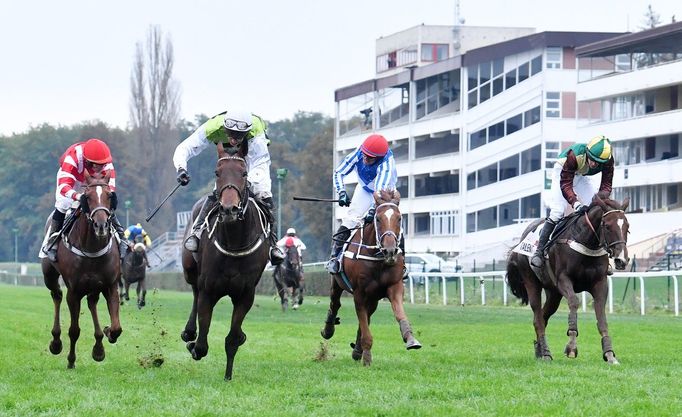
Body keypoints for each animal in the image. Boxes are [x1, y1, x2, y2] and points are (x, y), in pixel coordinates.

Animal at [40, 170, 122, 368]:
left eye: (109, 196)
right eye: (88, 196)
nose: (101, 225)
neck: (91, 248)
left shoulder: (110, 285)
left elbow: (117, 327)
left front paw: (107, 332)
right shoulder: (74, 291)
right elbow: (74, 330)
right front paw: (71, 360)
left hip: (94, 287)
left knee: (92, 303)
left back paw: (99, 346)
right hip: (49, 276)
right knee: (57, 295)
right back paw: (56, 342)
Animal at [179, 141, 270, 380]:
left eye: (244, 173)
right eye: (217, 173)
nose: (229, 209)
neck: (234, 241)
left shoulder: (245, 294)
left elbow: (232, 338)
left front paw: (228, 375)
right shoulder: (209, 289)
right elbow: (202, 344)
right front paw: (194, 345)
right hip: (189, 269)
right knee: (194, 291)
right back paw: (189, 331)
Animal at [320, 188, 420, 364]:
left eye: (399, 218)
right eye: (378, 219)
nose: (390, 250)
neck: (377, 257)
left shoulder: (394, 286)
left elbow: (398, 313)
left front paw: (410, 339)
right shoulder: (359, 292)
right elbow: (363, 321)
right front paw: (367, 357)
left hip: (373, 297)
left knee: (367, 315)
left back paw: (357, 350)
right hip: (337, 284)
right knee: (335, 304)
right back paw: (329, 330)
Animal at [504, 193, 628, 362]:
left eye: (627, 227)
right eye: (607, 226)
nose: (622, 260)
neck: (586, 242)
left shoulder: (600, 282)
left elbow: (601, 316)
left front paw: (609, 354)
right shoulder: (563, 279)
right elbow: (574, 303)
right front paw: (571, 347)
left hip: (553, 293)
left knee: (543, 316)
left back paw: (540, 350)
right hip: (531, 282)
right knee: (537, 317)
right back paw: (546, 353)